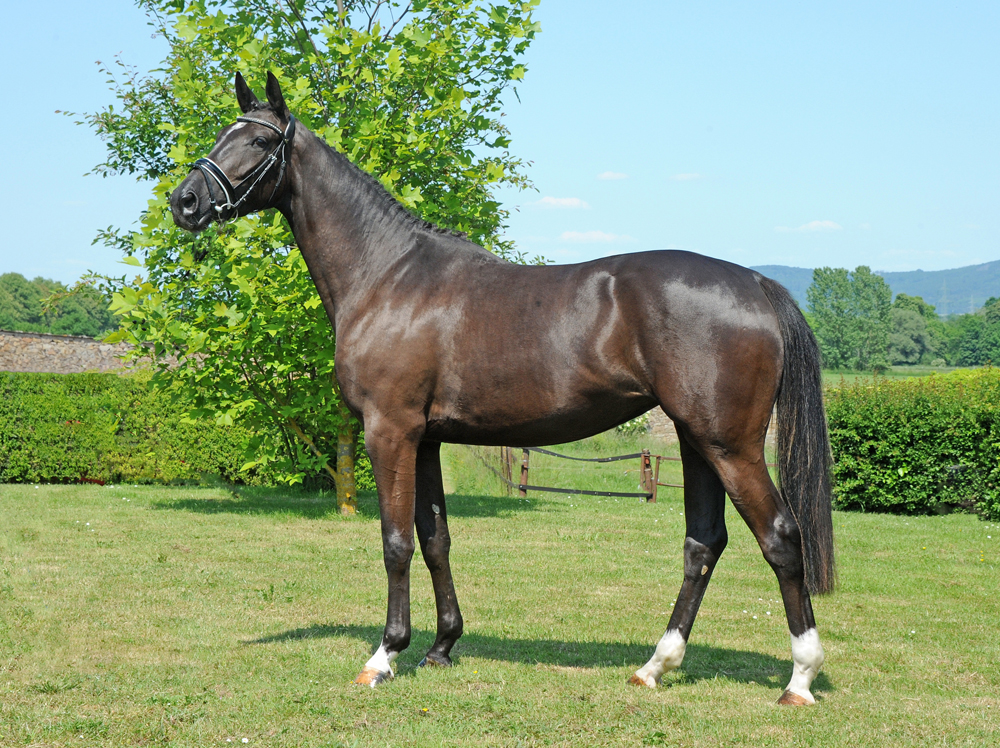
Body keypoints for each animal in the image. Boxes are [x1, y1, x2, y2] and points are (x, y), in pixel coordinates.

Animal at [174, 73, 836, 704]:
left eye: (259, 142)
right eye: (222, 134)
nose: (184, 201)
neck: (388, 275)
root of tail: (754, 283)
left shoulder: (389, 429)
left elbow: (395, 541)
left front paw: (385, 655)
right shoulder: (427, 439)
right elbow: (435, 538)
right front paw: (441, 646)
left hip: (731, 446)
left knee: (780, 537)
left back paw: (799, 678)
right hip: (696, 440)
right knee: (703, 543)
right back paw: (655, 667)